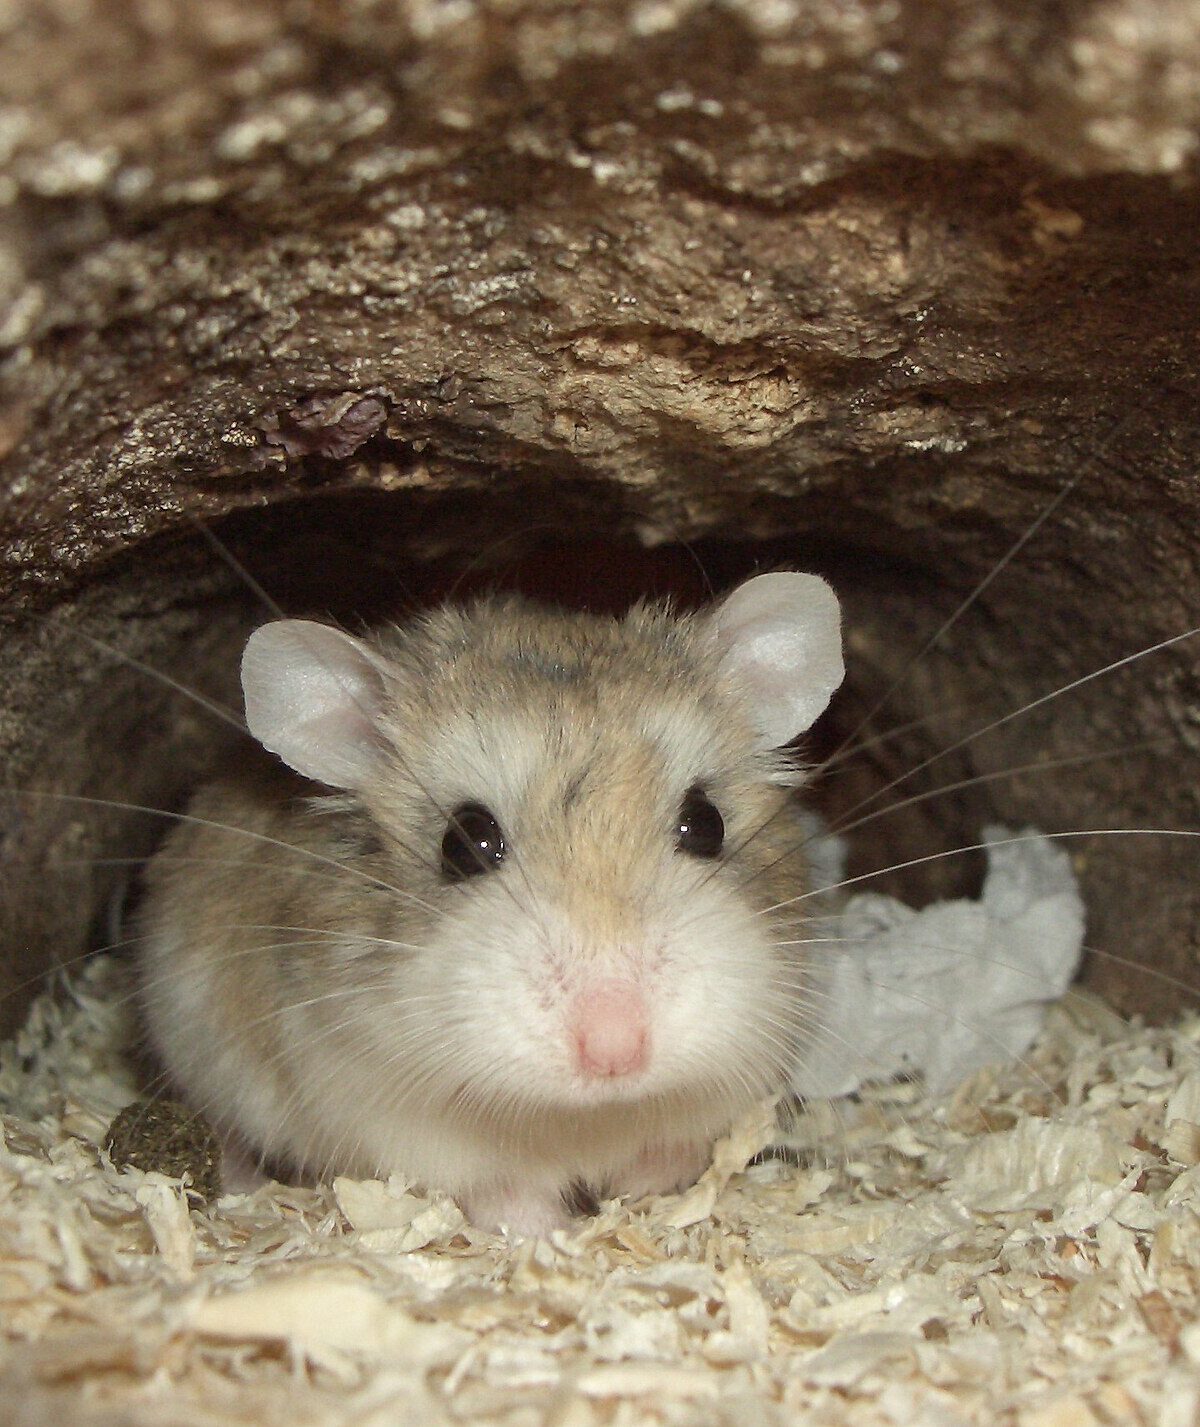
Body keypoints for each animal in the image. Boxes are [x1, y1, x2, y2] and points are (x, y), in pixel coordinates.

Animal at [135, 571, 844, 1234]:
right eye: (464, 843)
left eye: (706, 824)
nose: (615, 1051)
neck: (585, 1117)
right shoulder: (388, 1116)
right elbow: (504, 1192)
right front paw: (549, 1235)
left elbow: (669, 1154)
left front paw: (645, 1195)